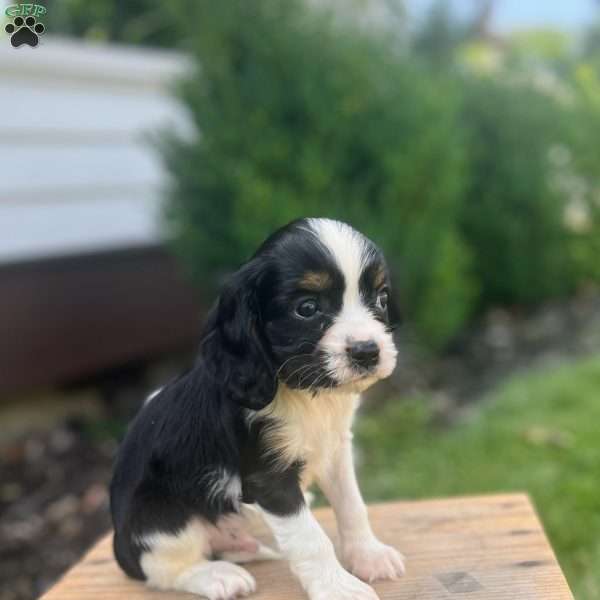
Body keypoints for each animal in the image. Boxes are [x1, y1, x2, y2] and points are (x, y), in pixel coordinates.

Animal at [110, 218, 406, 596]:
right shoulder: (270, 478)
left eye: (381, 298)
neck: (304, 392)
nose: (368, 351)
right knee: (160, 569)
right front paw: (338, 589)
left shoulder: (335, 449)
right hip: (162, 518)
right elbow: (311, 539)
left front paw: (369, 556)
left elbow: (352, 505)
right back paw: (217, 576)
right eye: (307, 308)